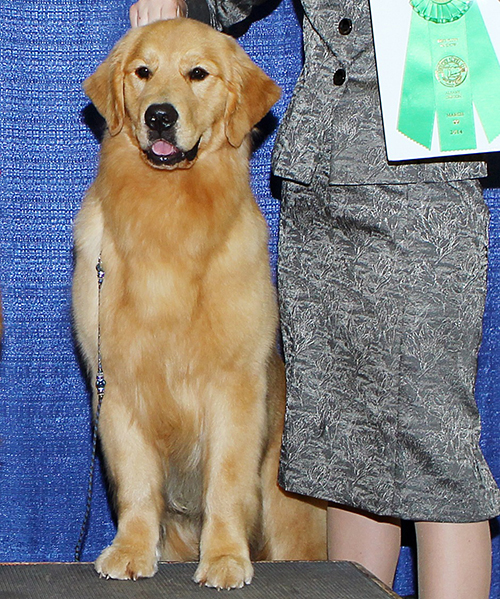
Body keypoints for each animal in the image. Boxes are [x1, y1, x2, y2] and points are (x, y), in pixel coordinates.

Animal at [72, 17, 326, 592]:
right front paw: (131, 550)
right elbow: (137, 486)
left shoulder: (233, 387)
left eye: (198, 74)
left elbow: (226, 484)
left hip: (289, 519)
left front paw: (226, 557)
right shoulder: (119, 386)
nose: (159, 116)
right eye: (143, 71)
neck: (169, 215)